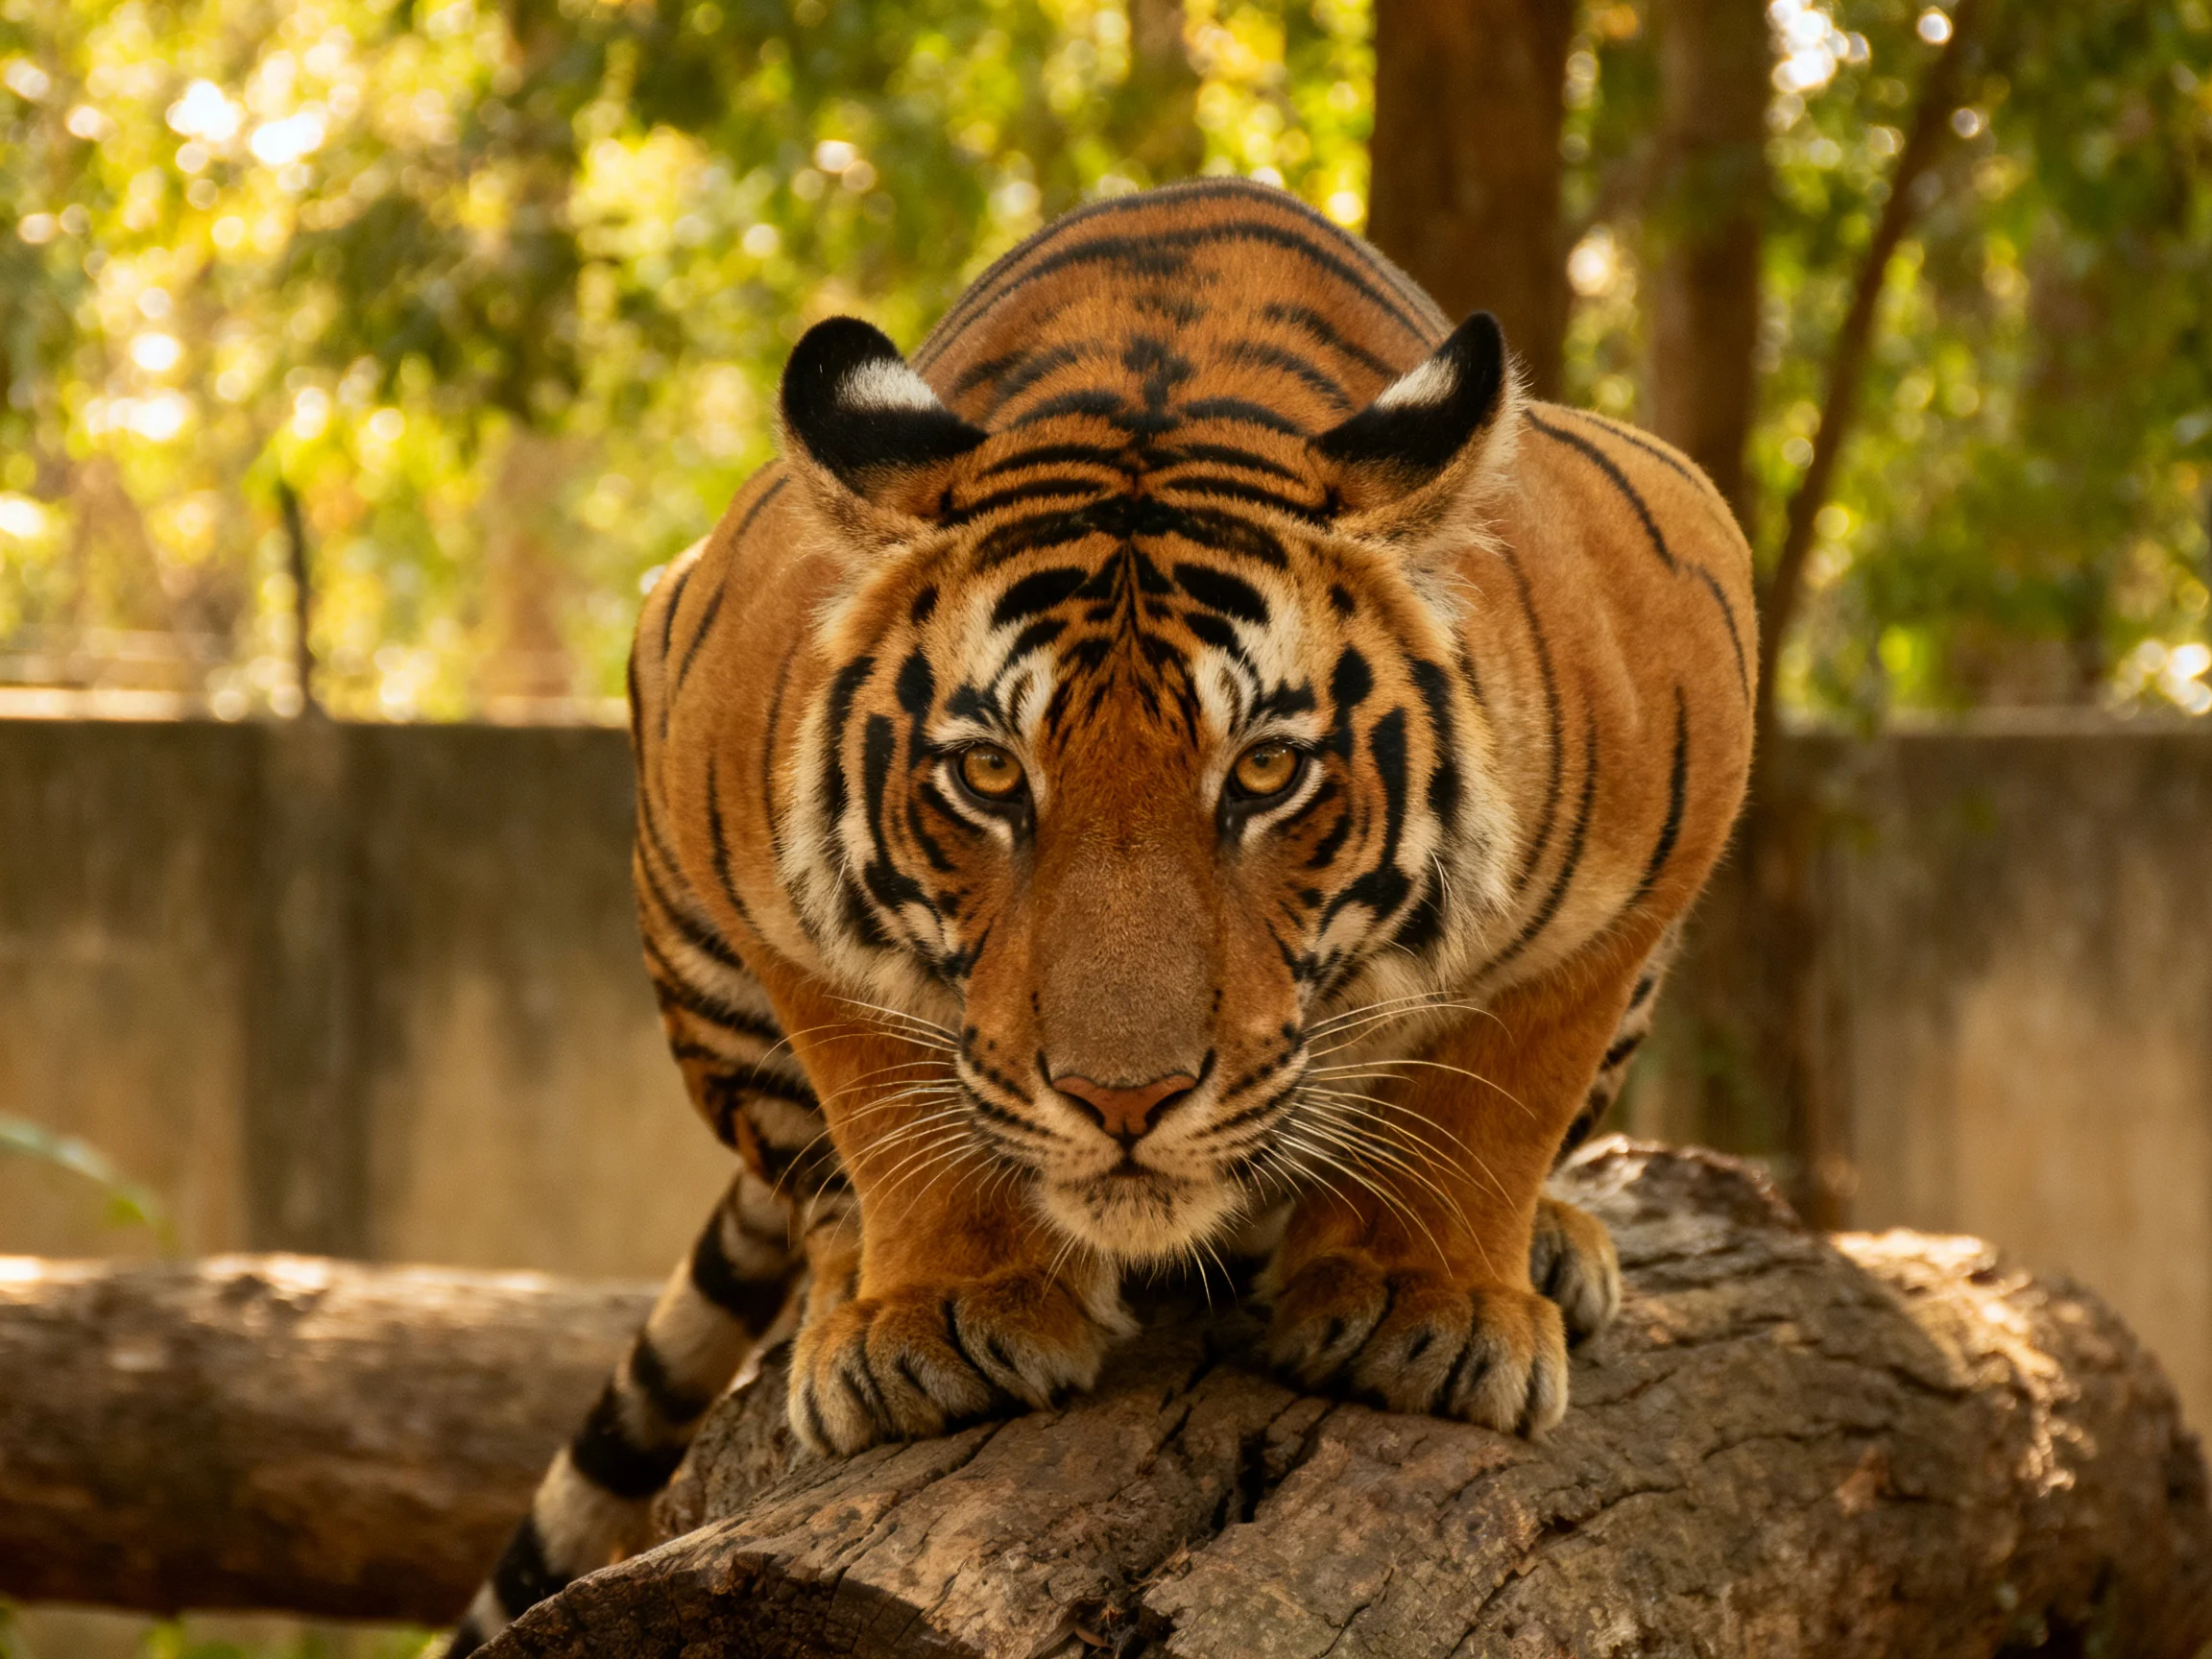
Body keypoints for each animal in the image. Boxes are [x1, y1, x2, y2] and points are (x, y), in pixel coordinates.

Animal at [446, 177, 1753, 1652]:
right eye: (989, 776)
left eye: (1266, 771)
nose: (1123, 1102)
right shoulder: (731, 786)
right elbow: (877, 1075)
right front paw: (945, 1310)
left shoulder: (1668, 777)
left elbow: (1506, 1083)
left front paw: (1428, 1303)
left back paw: (1550, 1244)